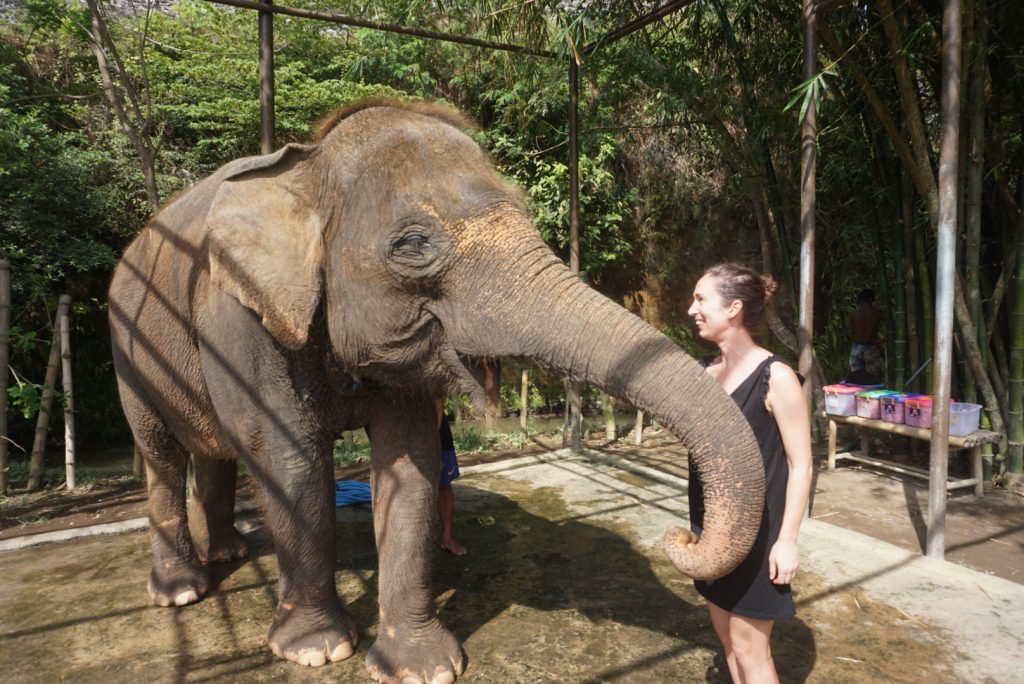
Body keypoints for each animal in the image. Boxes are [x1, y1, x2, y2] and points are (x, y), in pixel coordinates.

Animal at [108, 97, 765, 684]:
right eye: (413, 245)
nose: (683, 535)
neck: (309, 167)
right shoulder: (240, 320)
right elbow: (288, 459)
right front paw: (317, 652)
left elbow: (410, 462)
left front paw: (421, 667)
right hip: (127, 342)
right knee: (161, 452)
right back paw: (182, 591)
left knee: (212, 452)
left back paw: (229, 556)